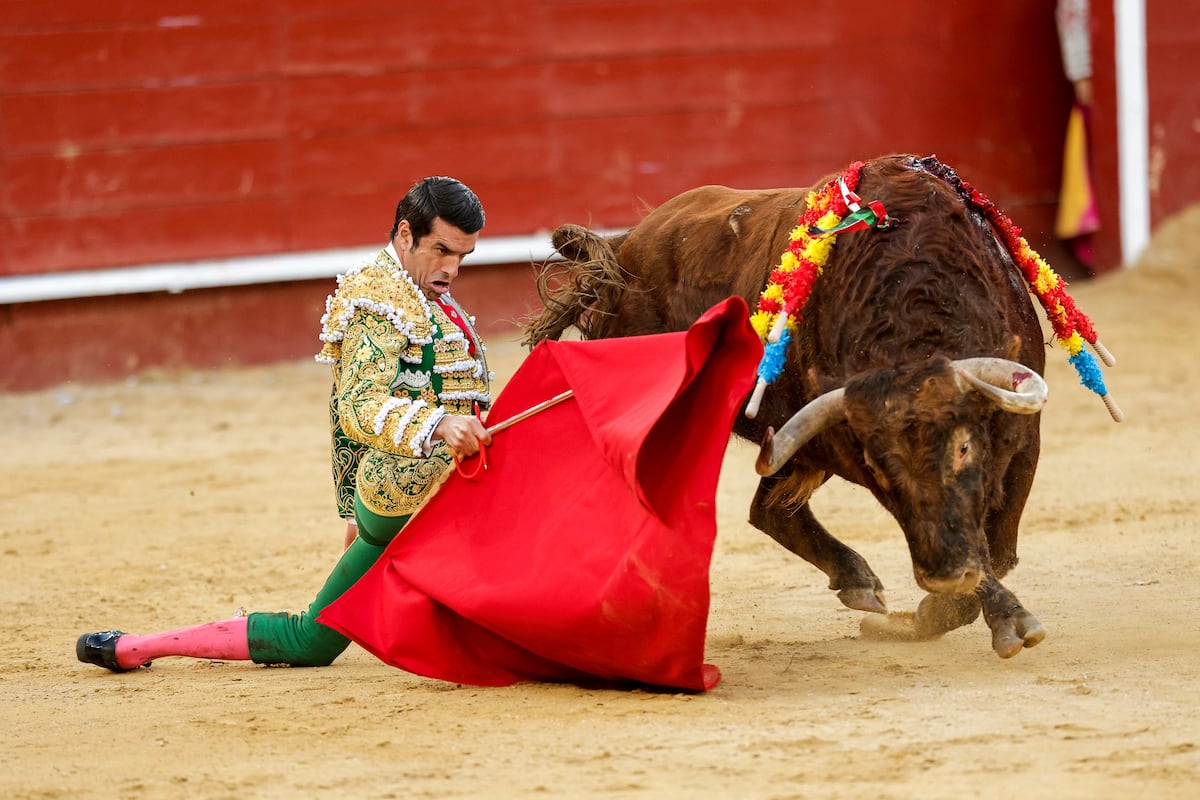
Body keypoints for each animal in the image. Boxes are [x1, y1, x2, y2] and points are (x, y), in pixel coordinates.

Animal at [523, 154, 1119, 659]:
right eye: (882, 467)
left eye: (965, 447)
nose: (944, 575)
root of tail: (625, 249)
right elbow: (977, 549)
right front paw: (979, 613)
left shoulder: (1022, 435)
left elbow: (998, 543)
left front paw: (938, 610)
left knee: (766, 511)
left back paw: (861, 585)